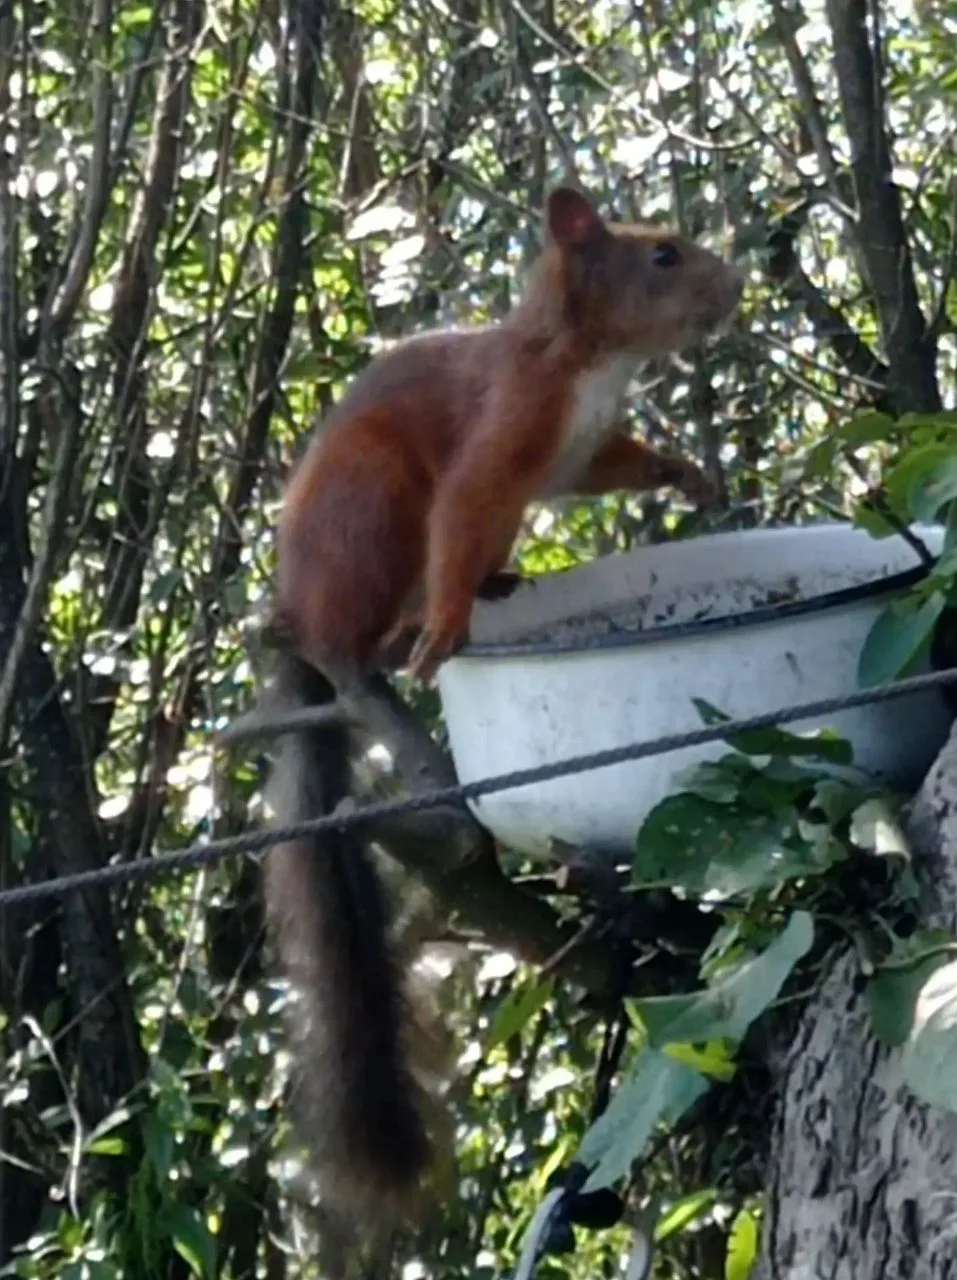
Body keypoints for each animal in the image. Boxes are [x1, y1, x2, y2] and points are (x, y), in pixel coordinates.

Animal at [260, 185, 743, 1231]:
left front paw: (683, 472)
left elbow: (609, 467)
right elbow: (464, 506)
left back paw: (498, 584)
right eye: (660, 256)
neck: (585, 358)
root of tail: (301, 626)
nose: (732, 287)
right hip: (370, 508)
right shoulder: (501, 435)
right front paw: (443, 623)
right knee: (383, 602)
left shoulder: (573, 452)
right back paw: (412, 631)